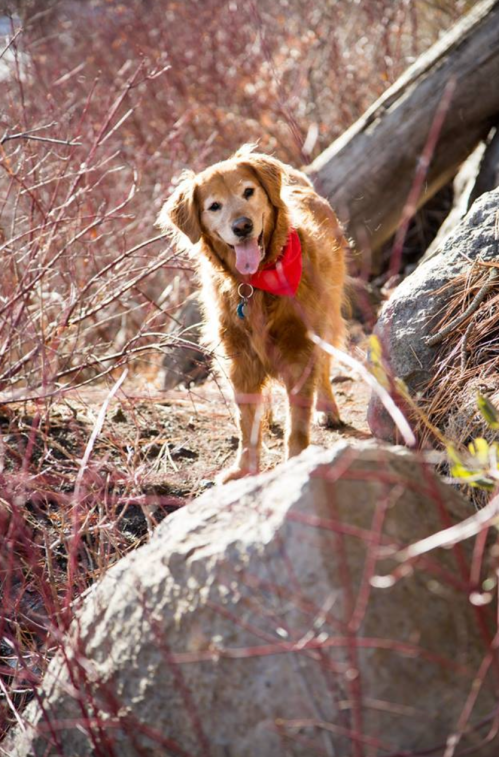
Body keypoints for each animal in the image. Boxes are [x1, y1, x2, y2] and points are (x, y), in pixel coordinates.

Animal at [160, 145, 348, 482]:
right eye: (214, 206)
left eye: (248, 191)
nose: (242, 226)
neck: (255, 284)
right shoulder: (240, 360)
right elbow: (246, 421)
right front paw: (244, 470)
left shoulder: (300, 350)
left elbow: (297, 423)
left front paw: (296, 462)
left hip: (327, 314)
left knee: (325, 366)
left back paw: (327, 409)